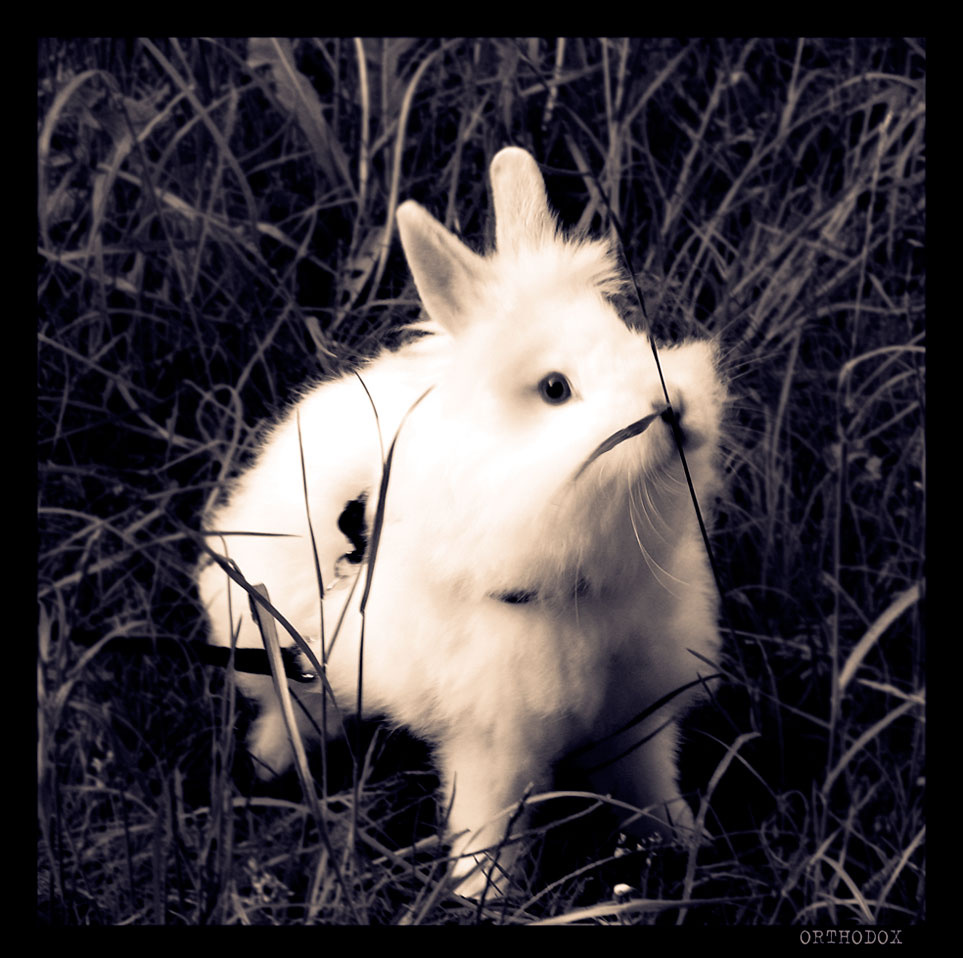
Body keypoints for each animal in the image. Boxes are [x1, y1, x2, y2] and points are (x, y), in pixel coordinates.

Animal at [196, 146, 726, 899]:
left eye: (631, 336)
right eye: (555, 388)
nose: (674, 409)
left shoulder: (638, 708)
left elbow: (648, 788)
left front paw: (681, 843)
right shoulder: (491, 739)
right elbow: (487, 824)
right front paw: (486, 895)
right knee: (286, 710)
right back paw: (272, 768)